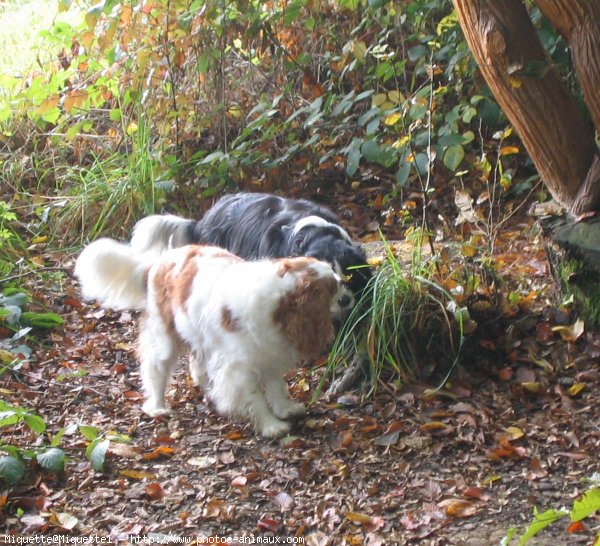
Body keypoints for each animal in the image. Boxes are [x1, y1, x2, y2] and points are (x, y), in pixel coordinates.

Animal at [74, 240, 352, 436]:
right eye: (331, 288)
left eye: (338, 280)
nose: (348, 296)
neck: (279, 304)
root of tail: (162, 259)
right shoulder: (239, 369)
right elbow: (255, 398)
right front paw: (271, 426)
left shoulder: (269, 352)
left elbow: (275, 386)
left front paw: (285, 409)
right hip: (165, 337)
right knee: (156, 368)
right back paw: (157, 406)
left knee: (197, 363)